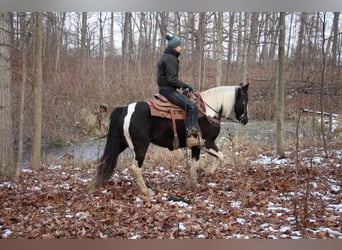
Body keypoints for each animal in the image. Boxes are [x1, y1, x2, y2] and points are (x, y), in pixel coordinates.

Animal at [90, 82, 248, 195]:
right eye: (245, 100)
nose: (245, 120)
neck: (208, 111)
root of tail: (125, 109)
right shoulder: (207, 143)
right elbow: (221, 156)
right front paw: (206, 172)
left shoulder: (196, 146)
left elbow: (194, 163)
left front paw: (194, 182)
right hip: (140, 146)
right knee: (135, 168)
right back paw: (146, 191)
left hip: (121, 143)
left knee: (106, 160)